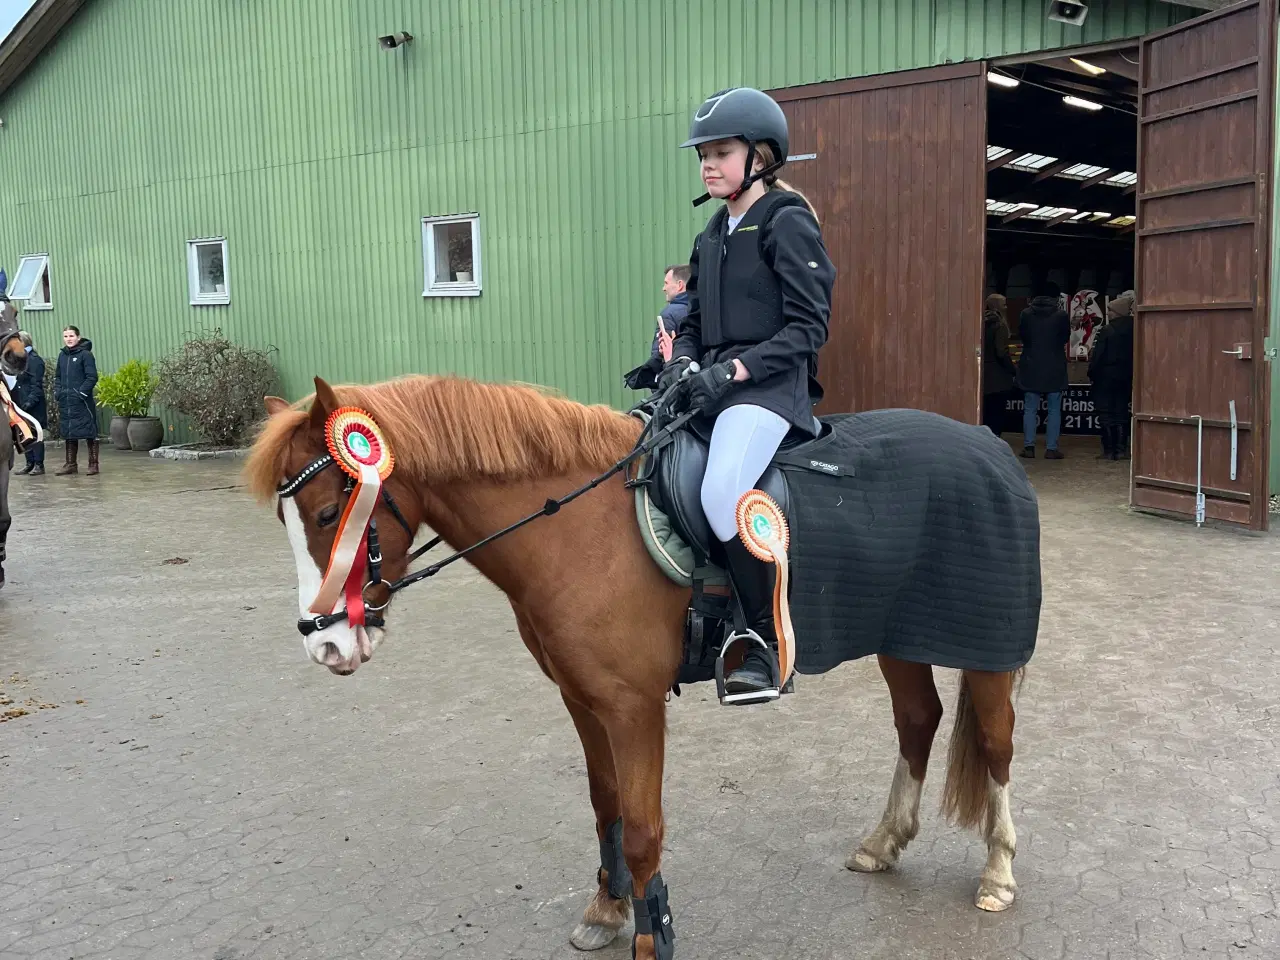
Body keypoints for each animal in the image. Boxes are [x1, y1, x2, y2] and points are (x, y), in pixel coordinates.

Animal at [245, 374, 1036, 960]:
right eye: (290, 518)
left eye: (328, 514)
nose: (324, 644)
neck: (575, 527)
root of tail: (991, 449)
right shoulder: (583, 698)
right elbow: (609, 808)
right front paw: (606, 908)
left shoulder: (633, 706)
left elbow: (646, 827)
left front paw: (654, 937)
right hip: (900, 639)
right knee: (918, 721)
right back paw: (882, 844)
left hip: (985, 652)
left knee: (996, 744)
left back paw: (999, 871)